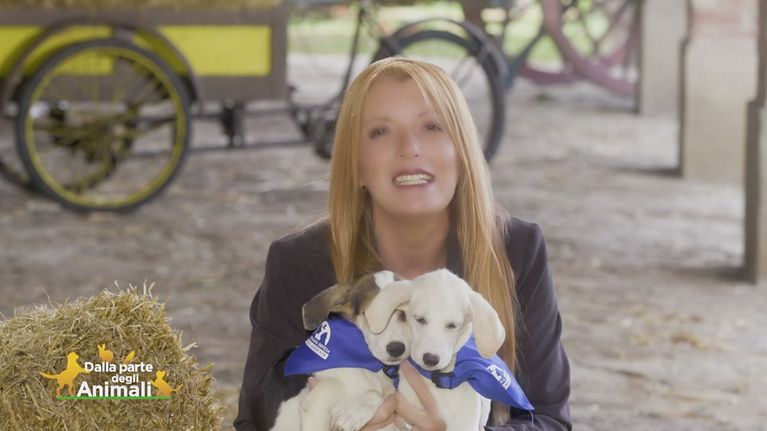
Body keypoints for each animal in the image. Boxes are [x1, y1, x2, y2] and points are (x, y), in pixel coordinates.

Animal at [257, 270, 409, 431]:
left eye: (405, 314)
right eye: (369, 314)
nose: (397, 349)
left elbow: (379, 395)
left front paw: (354, 414)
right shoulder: (317, 403)